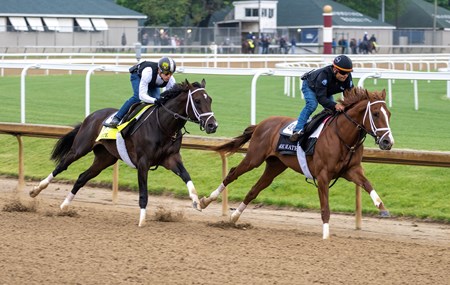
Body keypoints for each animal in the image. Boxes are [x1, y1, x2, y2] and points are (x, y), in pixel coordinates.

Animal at [29, 79, 218, 225]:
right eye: (197, 100)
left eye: (210, 100)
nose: (213, 125)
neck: (163, 126)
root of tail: (91, 116)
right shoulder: (143, 162)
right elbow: (143, 193)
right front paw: (142, 220)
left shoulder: (172, 159)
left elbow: (186, 176)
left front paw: (197, 201)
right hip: (80, 148)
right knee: (61, 166)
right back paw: (36, 190)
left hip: (105, 158)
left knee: (82, 177)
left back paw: (65, 206)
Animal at [200, 86, 394, 237]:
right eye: (376, 113)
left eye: (389, 114)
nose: (387, 142)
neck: (342, 137)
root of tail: (261, 124)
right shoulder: (323, 176)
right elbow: (325, 208)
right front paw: (326, 235)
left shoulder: (351, 170)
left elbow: (367, 184)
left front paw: (382, 207)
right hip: (254, 158)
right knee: (233, 173)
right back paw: (205, 201)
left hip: (275, 165)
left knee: (255, 189)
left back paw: (234, 217)